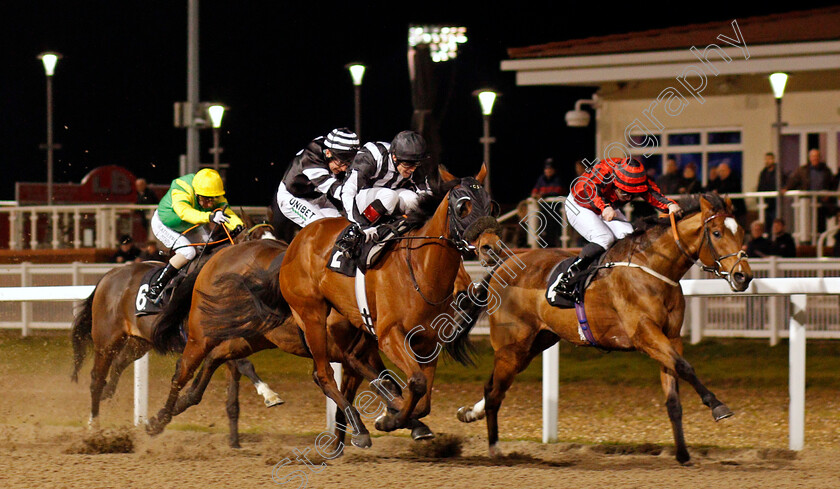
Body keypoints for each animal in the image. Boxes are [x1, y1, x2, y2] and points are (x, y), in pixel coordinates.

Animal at [69, 219, 278, 448]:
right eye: (257, 245)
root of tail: (108, 275)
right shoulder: (204, 340)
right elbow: (243, 364)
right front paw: (269, 393)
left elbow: (233, 390)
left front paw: (234, 440)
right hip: (106, 340)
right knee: (96, 379)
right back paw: (94, 427)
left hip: (139, 342)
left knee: (119, 364)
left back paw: (108, 395)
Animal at [456, 193, 752, 464]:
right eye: (717, 232)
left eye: (741, 232)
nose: (743, 276)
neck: (651, 267)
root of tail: (502, 266)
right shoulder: (645, 335)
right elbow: (685, 367)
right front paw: (718, 406)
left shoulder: (671, 337)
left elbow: (673, 397)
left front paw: (682, 453)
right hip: (512, 346)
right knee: (495, 392)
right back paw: (495, 450)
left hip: (535, 343)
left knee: (493, 386)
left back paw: (470, 413)